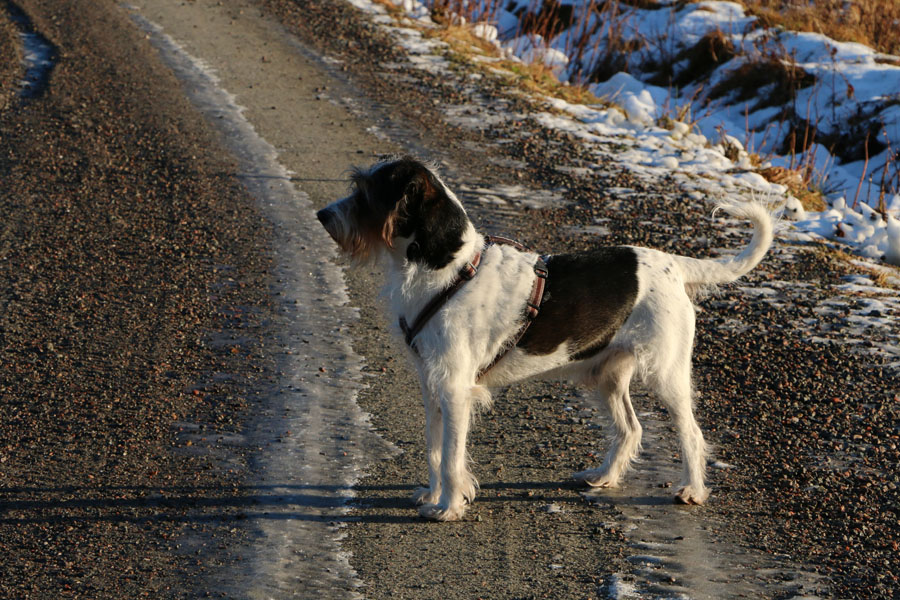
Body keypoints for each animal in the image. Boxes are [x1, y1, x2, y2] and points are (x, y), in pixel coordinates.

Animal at [316, 155, 772, 520]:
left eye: (366, 193)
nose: (322, 215)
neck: (447, 265)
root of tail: (673, 265)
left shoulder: (455, 388)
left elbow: (450, 456)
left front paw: (448, 507)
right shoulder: (433, 385)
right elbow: (434, 450)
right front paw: (435, 497)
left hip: (666, 374)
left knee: (690, 434)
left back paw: (692, 490)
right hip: (607, 377)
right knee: (631, 429)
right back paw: (603, 476)